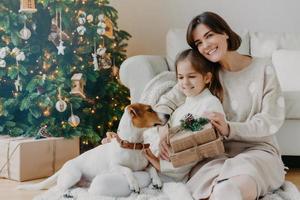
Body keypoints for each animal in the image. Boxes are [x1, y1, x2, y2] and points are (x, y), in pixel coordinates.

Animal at [17, 103, 170, 195]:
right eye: (149, 110)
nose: (168, 115)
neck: (132, 145)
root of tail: (64, 166)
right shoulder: (114, 167)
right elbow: (127, 170)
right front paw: (134, 184)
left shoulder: (145, 165)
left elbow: (153, 168)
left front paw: (156, 181)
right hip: (73, 175)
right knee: (56, 189)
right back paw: (64, 194)